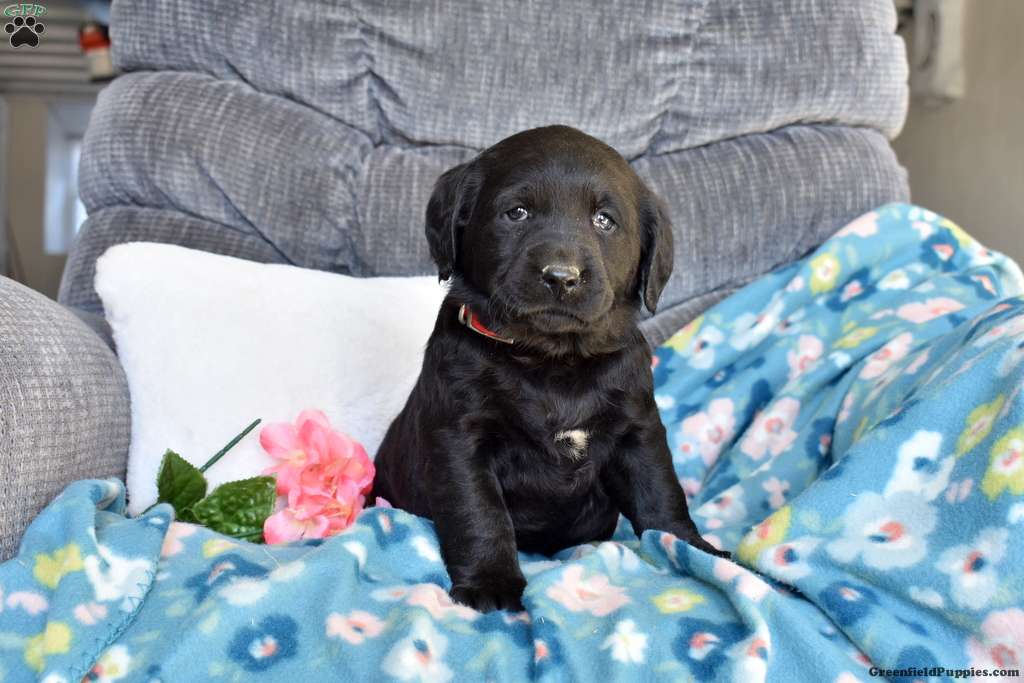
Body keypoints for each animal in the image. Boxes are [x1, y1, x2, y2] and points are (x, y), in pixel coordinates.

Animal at [372, 125, 727, 613]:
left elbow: (661, 494)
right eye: (516, 213)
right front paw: (491, 582)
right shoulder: (460, 438)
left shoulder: (638, 429)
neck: (552, 360)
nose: (561, 276)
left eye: (604, 220)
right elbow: (479, 512)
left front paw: (694, 551)